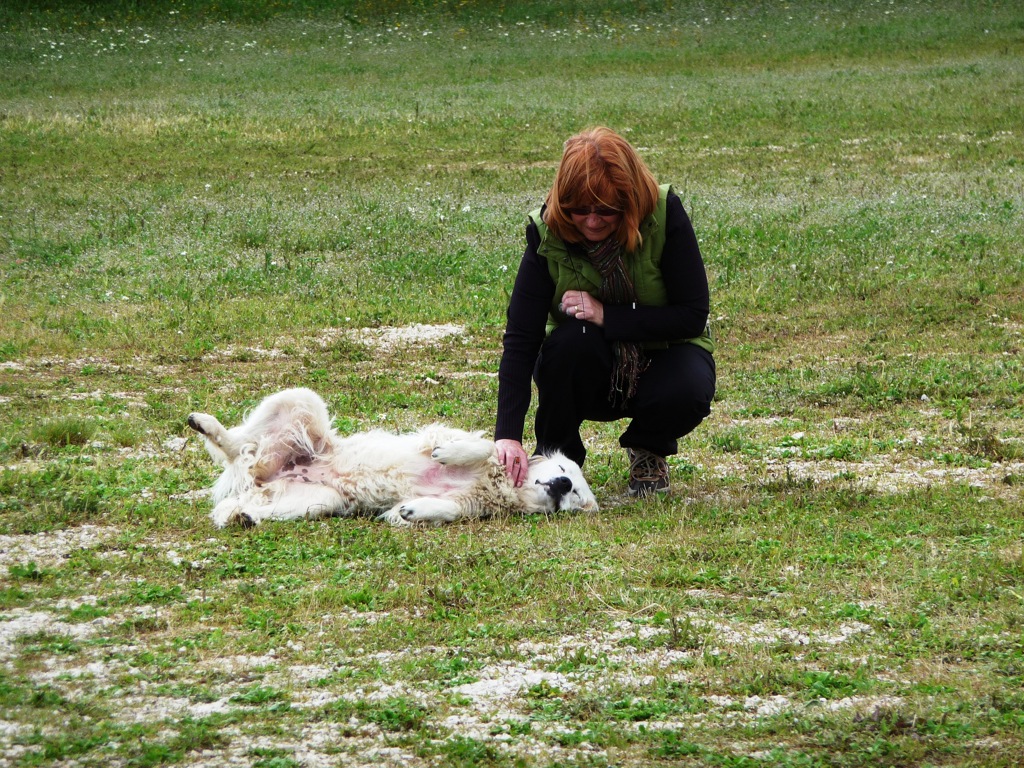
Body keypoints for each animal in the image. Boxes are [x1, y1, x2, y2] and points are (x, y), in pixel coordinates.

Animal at [188, 387, 598, 528]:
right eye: (565, 469)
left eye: (578, 496)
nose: (563, 483)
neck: (502, 485)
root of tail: (260, 476)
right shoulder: (440, 434)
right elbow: (480, 445)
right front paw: (450, 455)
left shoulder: (464, 504)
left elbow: (443, 509)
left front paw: (411, 511)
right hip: (300, 399)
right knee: (237, 444)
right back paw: (205, 424)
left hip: (319, 501)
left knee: (243, 502)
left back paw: (242, 516)